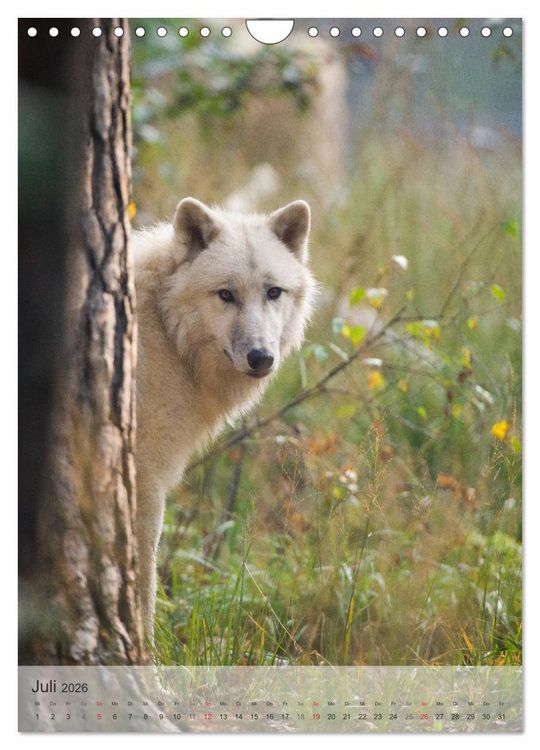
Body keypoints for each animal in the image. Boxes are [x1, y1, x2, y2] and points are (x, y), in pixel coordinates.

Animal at [132, 197, 316, 639]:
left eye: (273, 292)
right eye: (226, 295)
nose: (261, 358)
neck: (165, 332)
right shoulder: (147, 480)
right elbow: (145, 587)